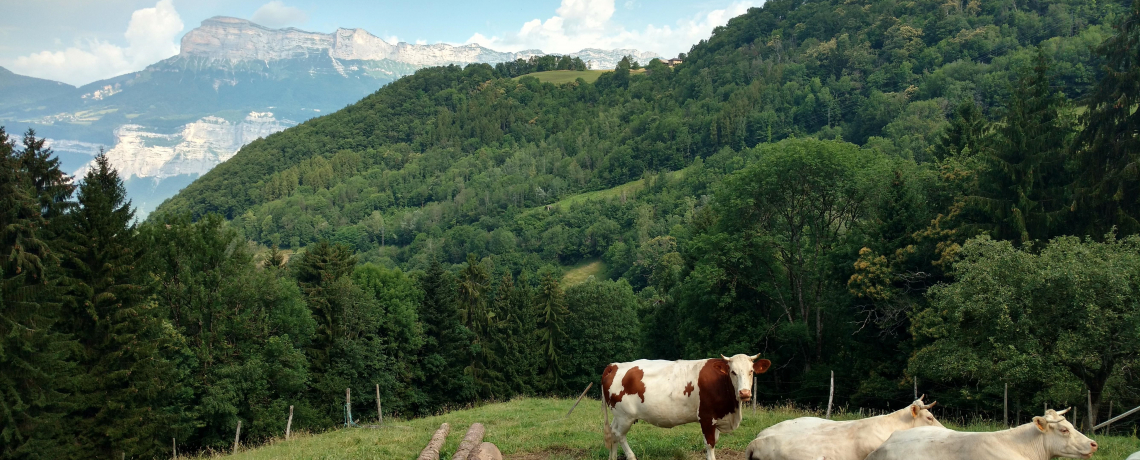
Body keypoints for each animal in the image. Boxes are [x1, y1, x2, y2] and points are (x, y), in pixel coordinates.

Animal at [597, 352, 775, 459]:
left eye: (751, 371)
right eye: (733, 372)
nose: (744, 393)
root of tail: (615, 365)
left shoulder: (717, 419)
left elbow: (714, 442)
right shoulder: (706, 417)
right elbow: (710, 444)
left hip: (619, 416)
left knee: (612, 433)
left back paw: (612, 457)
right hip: (625, 416)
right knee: (619, 435)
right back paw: (631, 456)